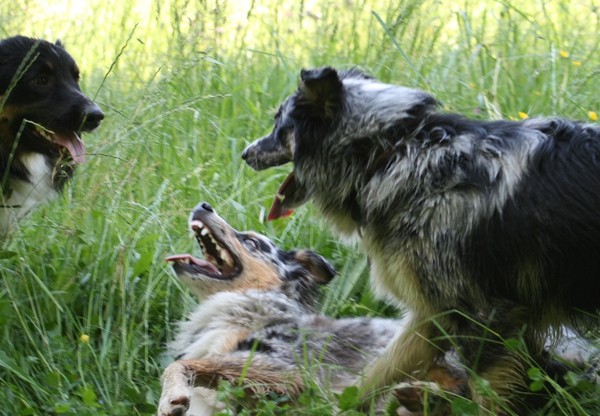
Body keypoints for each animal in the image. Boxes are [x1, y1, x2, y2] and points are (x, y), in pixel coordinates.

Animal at [241, 66, 600, 412]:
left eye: (279, 126)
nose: (245, 153)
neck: (390, 153)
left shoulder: (486, 316)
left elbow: (486, 399)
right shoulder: (434, 313)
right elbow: (375, 375)